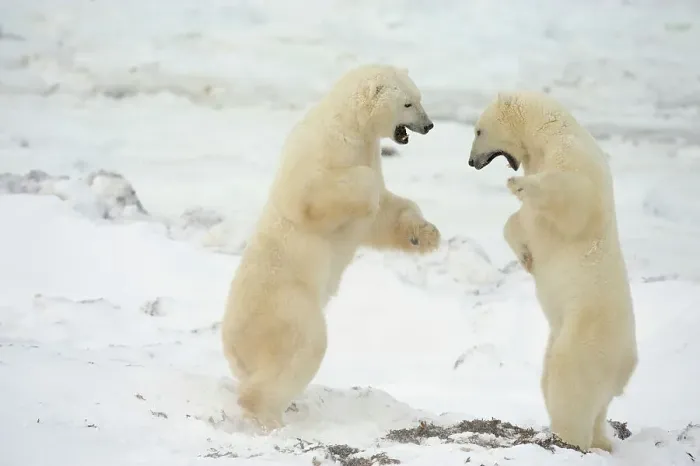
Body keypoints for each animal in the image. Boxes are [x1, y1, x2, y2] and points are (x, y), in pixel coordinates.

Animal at [221, 64, 440, 430]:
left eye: (419, 97)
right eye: (409, 103)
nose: (429, 125)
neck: (351, 123)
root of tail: (233, 345)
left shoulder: (367, 151)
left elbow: (384, 214)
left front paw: (425, 235)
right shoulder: (324, 150)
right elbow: (314, 194)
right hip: (289, 307)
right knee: (304, 348)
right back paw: (267, 415)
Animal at [468, 91, 638, 452]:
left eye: (478, 131)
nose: (472, 161)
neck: (547, 135)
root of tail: (626, 365)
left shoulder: (574, 159)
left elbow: (574, 199)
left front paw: (519, 184)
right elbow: (518, 222)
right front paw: (526, 256)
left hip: (587, 332)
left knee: (569, 381)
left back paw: (568, 438)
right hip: (562, 333)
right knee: (570, 391)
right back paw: (601, 440)